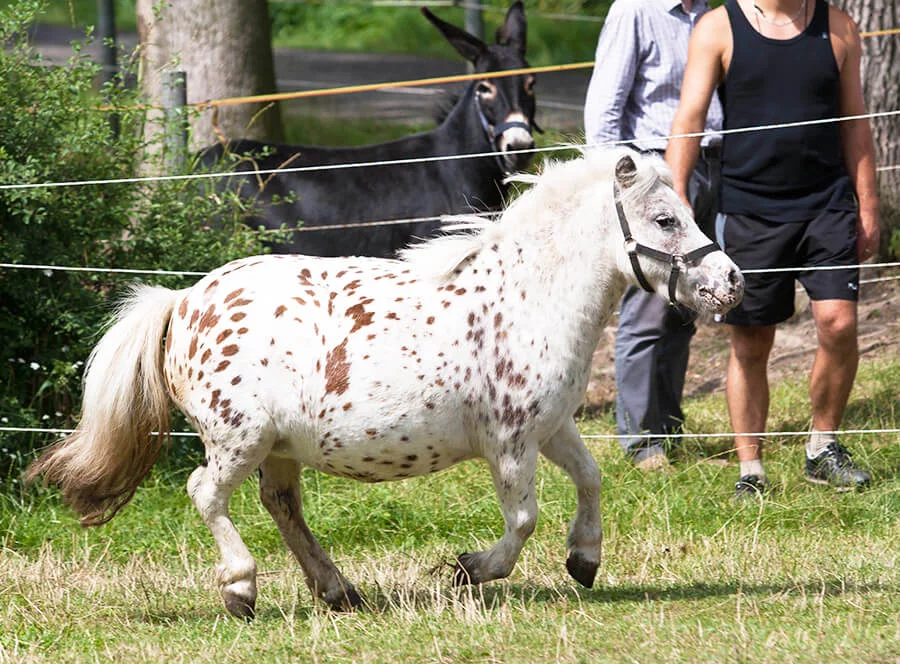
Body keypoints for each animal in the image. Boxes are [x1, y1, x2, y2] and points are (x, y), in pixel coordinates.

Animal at [29, 149, 744, 616]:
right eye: (665, 220)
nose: (731, 282)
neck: (526, 299)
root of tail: (182, 303)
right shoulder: (510, 442)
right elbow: (522, 520)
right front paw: (468, 572)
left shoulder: (553, 426)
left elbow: (592, 480)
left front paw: (585, 561)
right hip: (239, 437)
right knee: (207, 493)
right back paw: (241, 589)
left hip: (279, 448)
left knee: (281, 505)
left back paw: (339, 590)